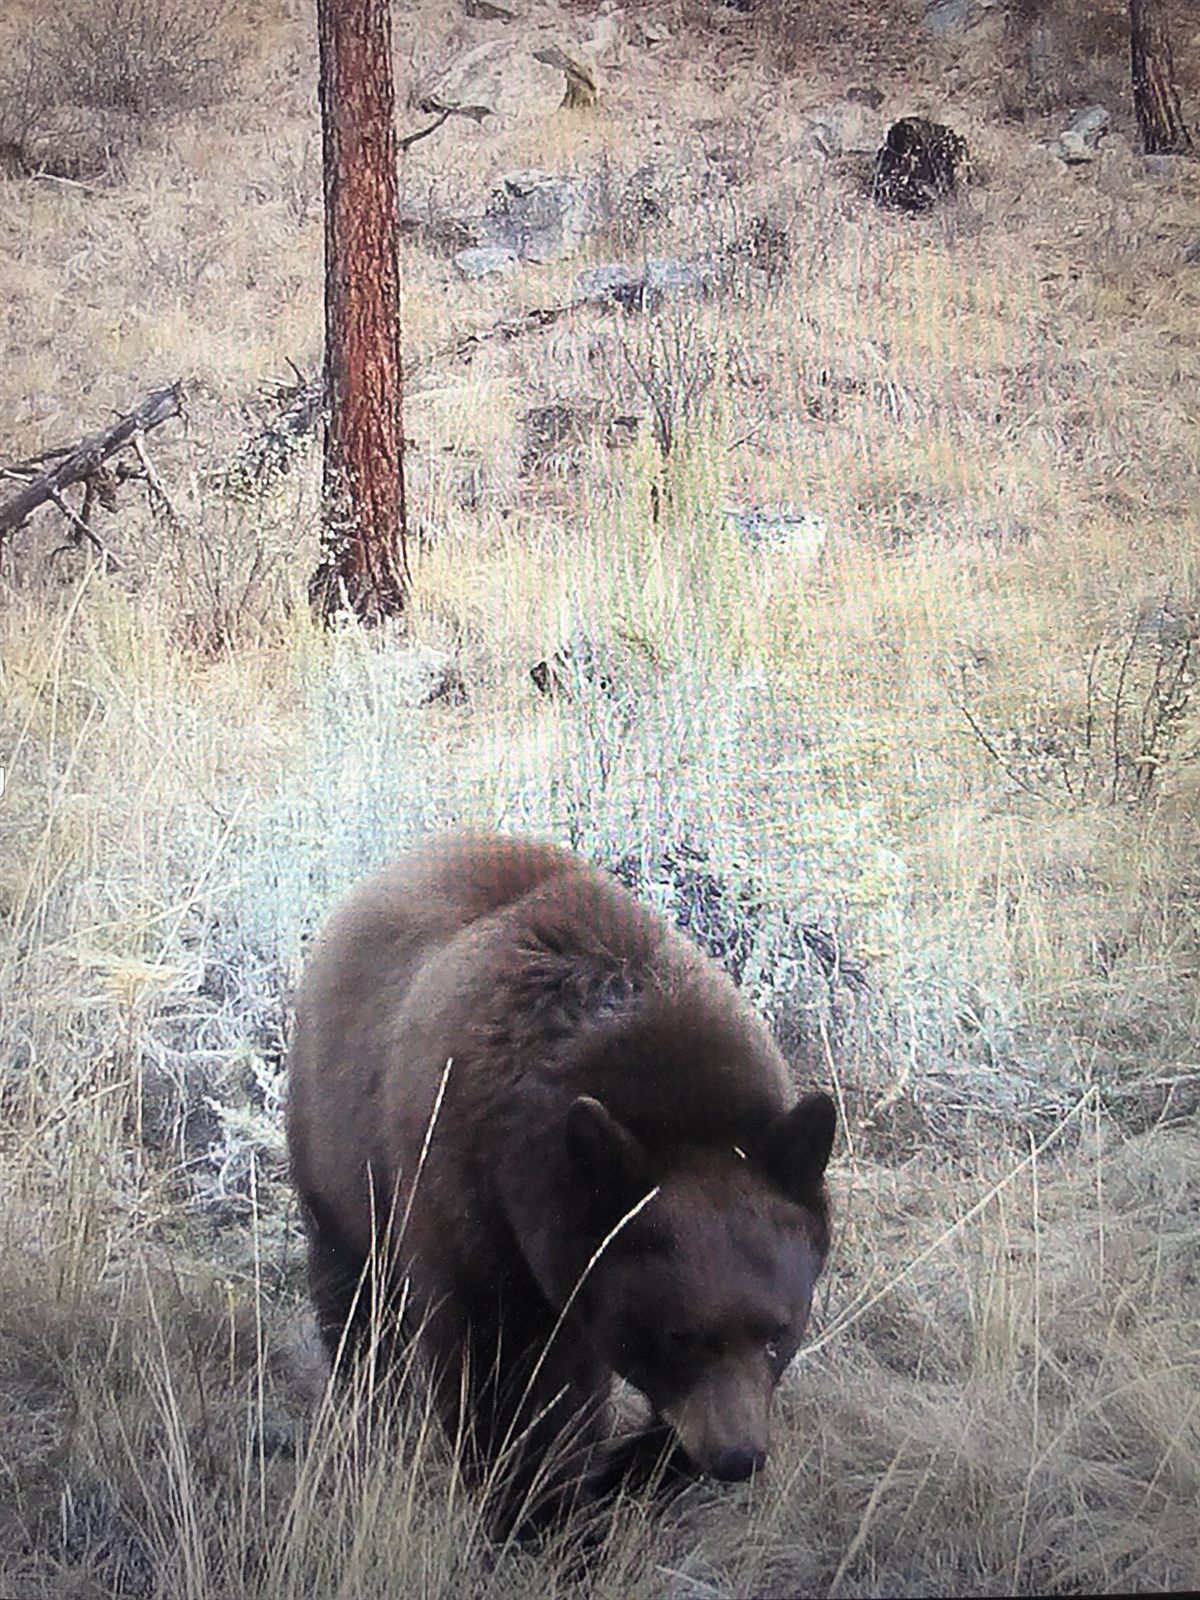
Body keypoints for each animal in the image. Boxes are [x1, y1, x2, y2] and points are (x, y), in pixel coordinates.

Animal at [286, 830, 836, 1538]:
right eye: (678, 1336)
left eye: (777, 1334)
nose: (737, 1456)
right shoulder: (470, 1191)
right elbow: (495, 1369)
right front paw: (534, 1508)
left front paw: (627, 1471)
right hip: (337, 1142)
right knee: (353, 1288)